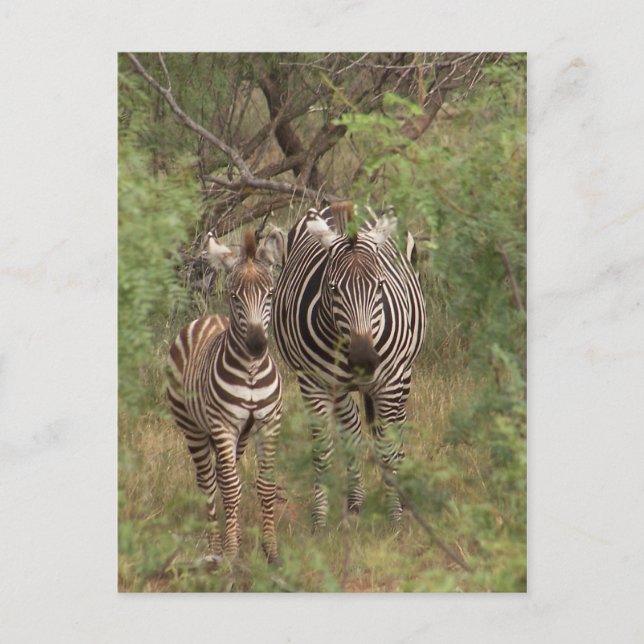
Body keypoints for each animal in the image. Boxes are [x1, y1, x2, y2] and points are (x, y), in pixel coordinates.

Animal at [167, 230, 283, 562]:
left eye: (270, 294)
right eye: (234, 297)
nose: (256, 345)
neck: (252, 372)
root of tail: (206, 318)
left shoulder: (269, 425)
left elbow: (265, 486)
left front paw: (270, 551)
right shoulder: (223, 426)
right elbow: (231, 488)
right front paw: (231, 553)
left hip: (240, 436)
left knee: (220, 474)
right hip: (193, 428)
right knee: (208, 481)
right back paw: (215, 548)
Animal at [272, 202, 426, 529]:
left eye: (380, 286)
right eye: (333, 288)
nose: (364, 360)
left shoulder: (390, 380)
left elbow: (387, 447)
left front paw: (395, 517)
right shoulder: (314, 383)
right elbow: (323, 450)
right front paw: (320, 520)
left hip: (405, 372)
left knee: (395, 426)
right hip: (338, 388)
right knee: (352, 430)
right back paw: (355, 501)